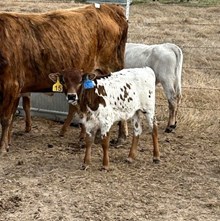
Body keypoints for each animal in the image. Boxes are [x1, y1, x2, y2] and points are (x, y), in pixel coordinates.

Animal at [0, 3, 127, 153]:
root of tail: (111, 7)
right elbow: (11, 117)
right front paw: (7, 143)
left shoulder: (11, 85)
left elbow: (5, 118)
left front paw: (2, 147)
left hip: (113, 69)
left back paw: (120, 137)